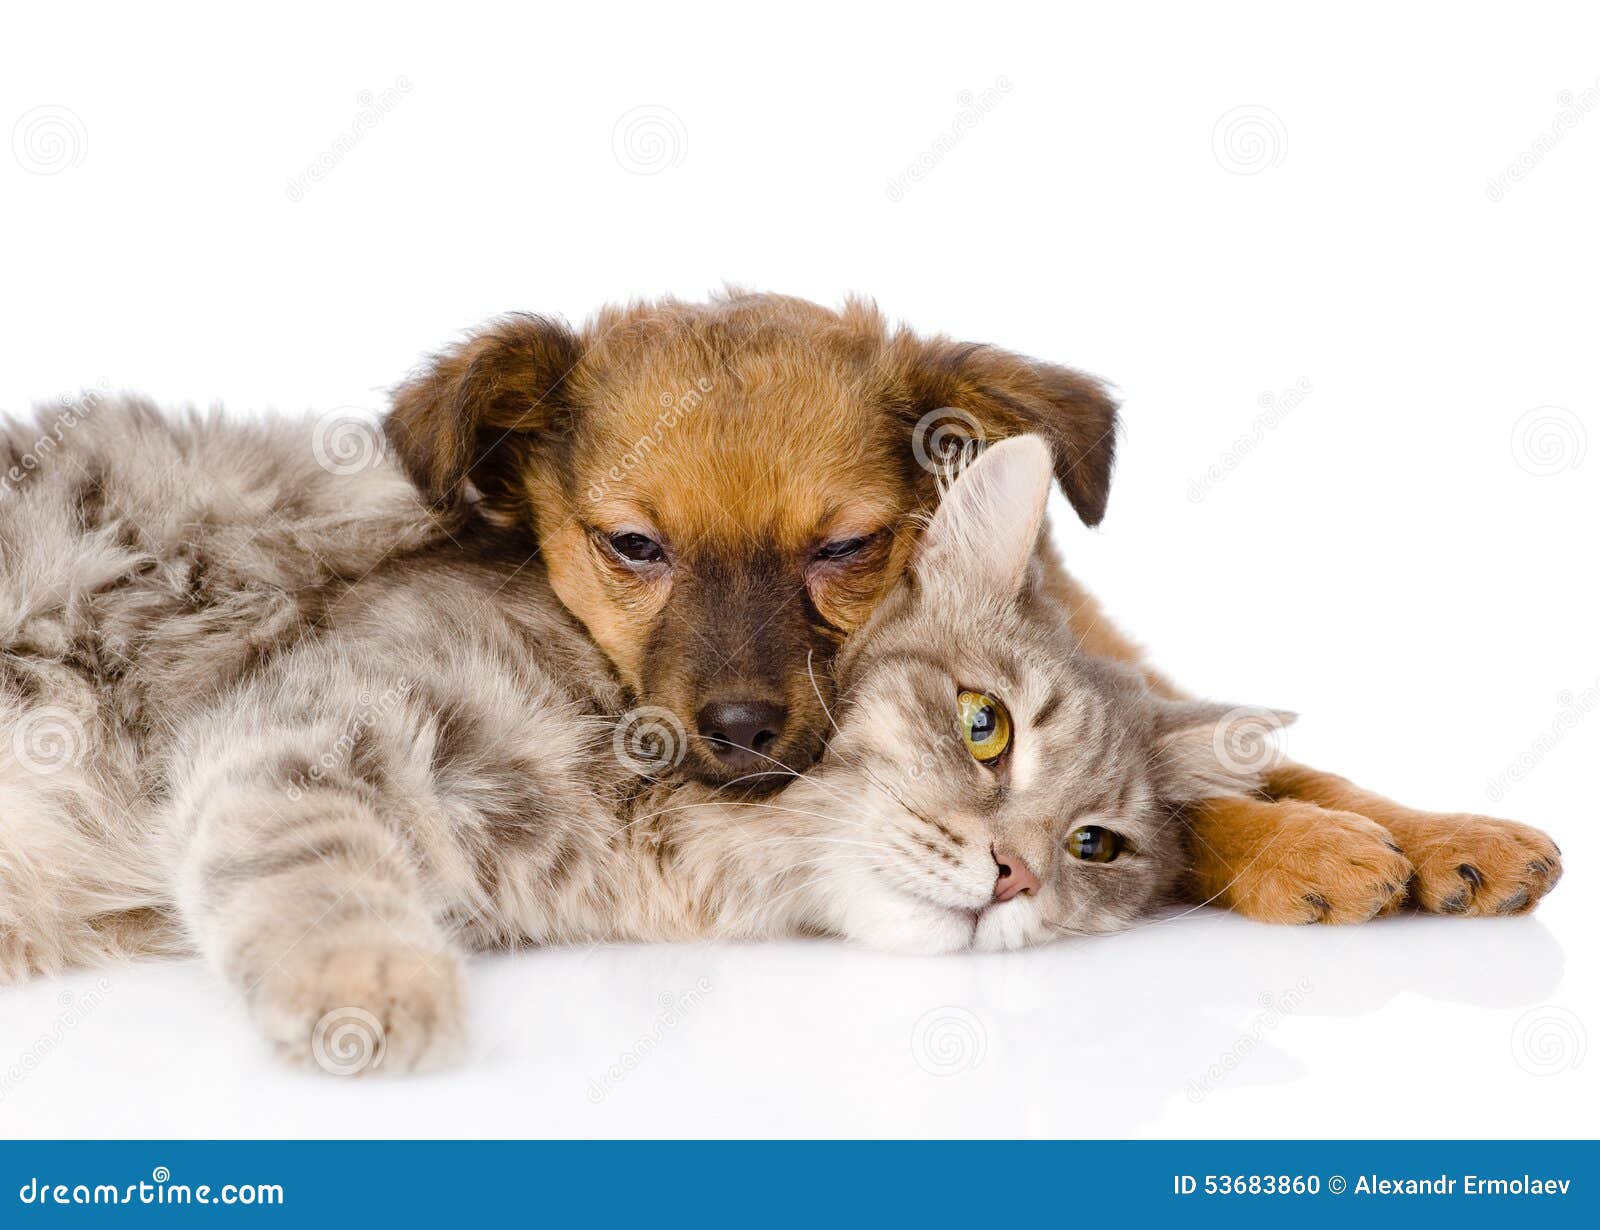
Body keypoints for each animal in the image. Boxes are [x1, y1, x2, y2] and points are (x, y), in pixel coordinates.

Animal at [3, 399, 1273, 1062]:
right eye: (984, 725)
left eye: (1095, 847)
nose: (1017, 876)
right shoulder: (309, 714)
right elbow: (311, 863)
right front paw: (369, 989)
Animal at [387, 291, 1561, 921]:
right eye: (634, 546)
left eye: (847, 547)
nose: (738, 729)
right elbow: (1182, 809)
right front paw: (1309, 850)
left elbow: (1300, 765)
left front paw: (1450, 834)